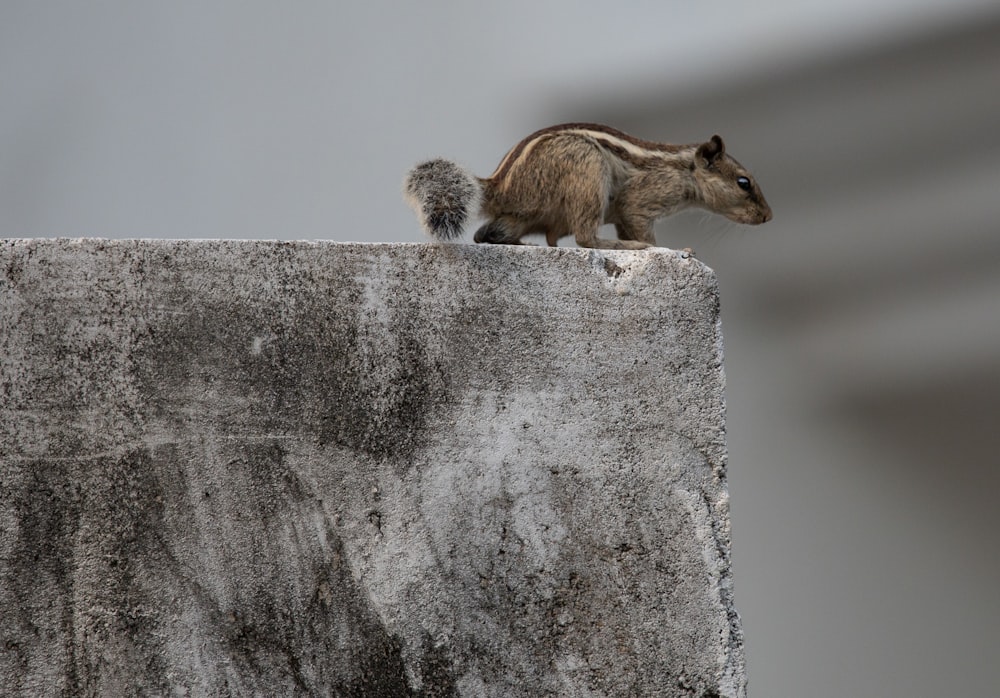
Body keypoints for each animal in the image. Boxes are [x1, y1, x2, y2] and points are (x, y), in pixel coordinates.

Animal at [406, 122, 772, 250]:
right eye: (744, 182)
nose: (768, 217)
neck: (685, 170)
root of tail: (500, 186)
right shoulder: (640, 201)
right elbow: (642, 228)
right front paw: (669, 249)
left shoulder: (625, 216)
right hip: (588, 166)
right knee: (585, 239)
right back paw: (622, 247)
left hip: (522, 215)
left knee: (486, 234)